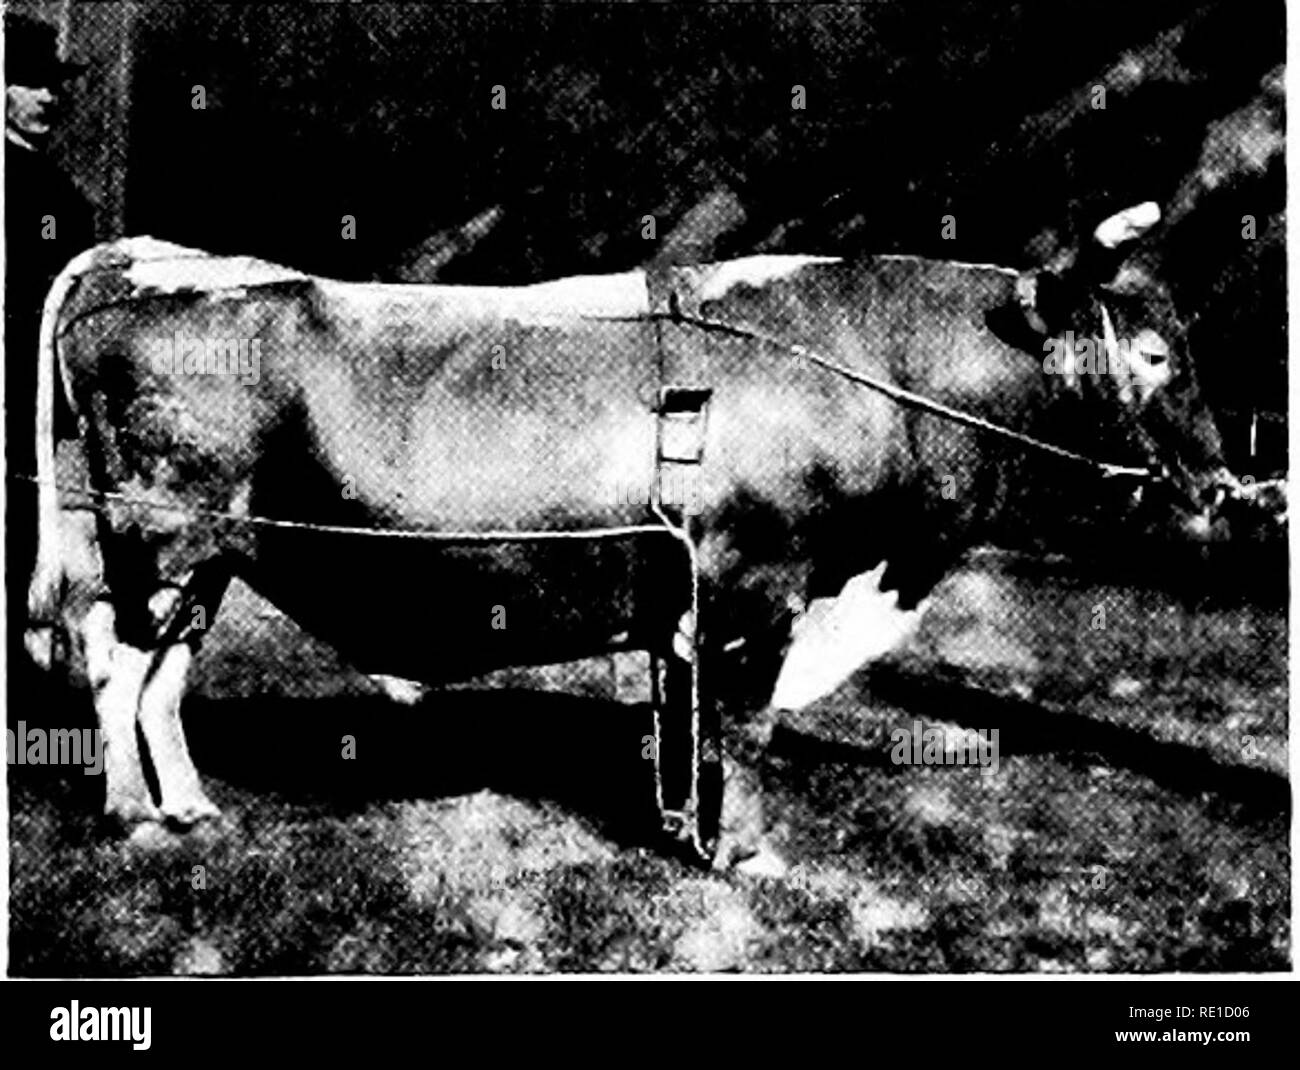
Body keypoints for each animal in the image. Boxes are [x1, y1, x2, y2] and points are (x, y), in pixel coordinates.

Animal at [22, 202, 1238, 865]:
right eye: (1154, 355)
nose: (1223, 481)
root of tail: (152, 257)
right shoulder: (759, 583)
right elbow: (745, 724)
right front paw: (742, 852)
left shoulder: (696, 601)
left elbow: (690, 724)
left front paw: (687, 828)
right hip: (159, 535)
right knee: (112, 659)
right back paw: (133, 814)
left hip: (211, 558)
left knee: (163, 675)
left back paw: (189, 805)